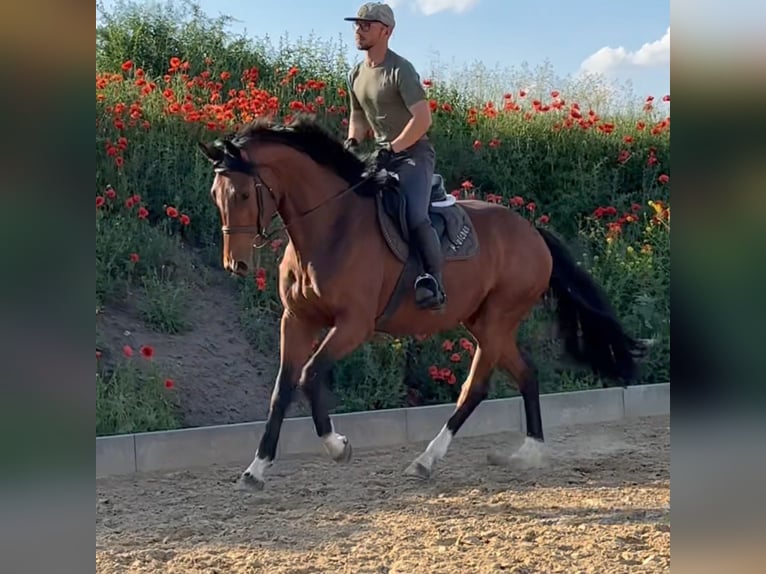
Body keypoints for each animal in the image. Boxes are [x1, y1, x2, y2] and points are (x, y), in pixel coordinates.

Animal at [195, 116, 644, 490]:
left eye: (240, 194)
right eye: (215, 194)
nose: (235, 263)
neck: (330, 228)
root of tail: (534, 233)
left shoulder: (353, 324)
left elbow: (309, 376)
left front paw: (338, 446)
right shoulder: (297, 320)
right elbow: (282, 389)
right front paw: (256, 469)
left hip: (497, 320)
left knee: (475, 388)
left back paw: (429, 460)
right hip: (482, 322)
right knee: (525, 374)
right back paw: (525, 452)